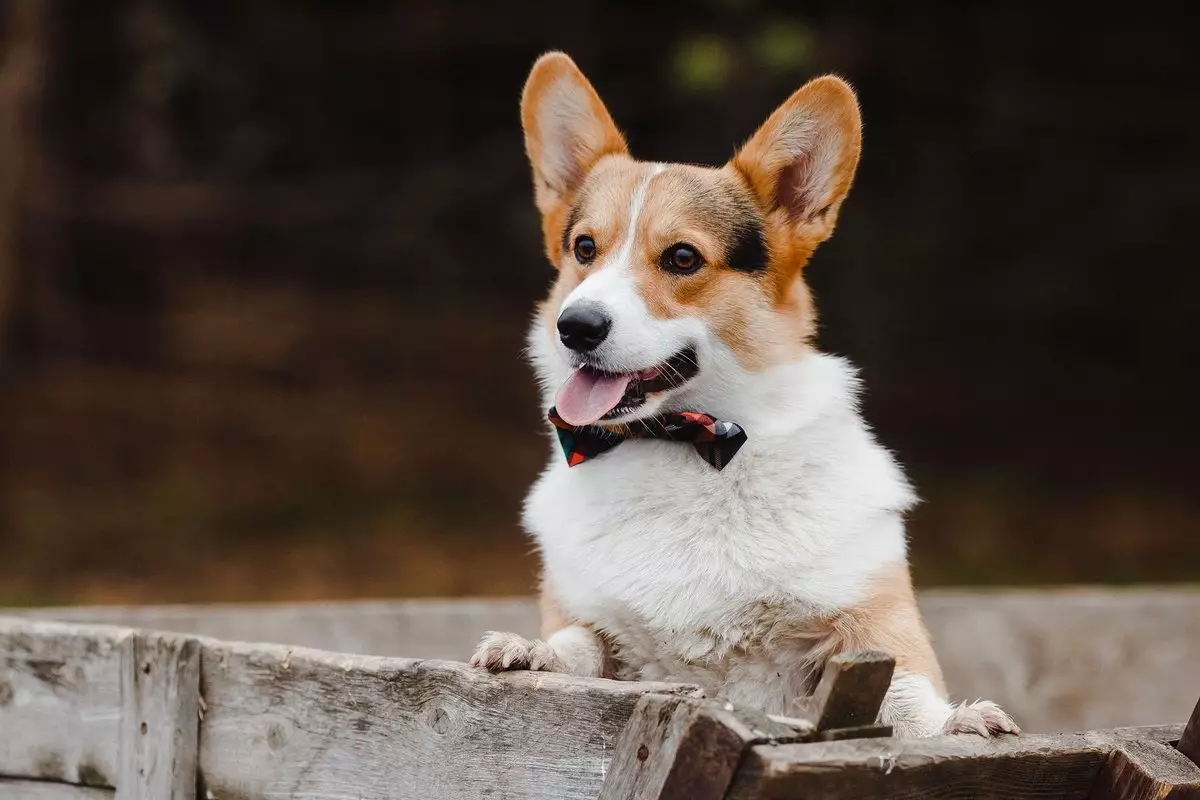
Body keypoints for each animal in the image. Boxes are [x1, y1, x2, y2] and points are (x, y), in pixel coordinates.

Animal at [472, 50, 1017, 738]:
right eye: (584, 248)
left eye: (682, 258)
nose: (576, 326)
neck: (684, 443)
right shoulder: (594, 623)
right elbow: (579, 644)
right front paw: (529, 651)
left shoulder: (872, 623)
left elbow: (906, 693)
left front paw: (953, 724)